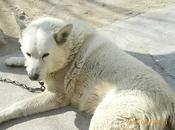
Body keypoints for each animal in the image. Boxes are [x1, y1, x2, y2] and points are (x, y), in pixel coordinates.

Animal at [2, 16, 175, 129]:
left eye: (45, 55)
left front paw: (2, 115)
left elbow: (18, 106)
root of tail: (169, 99)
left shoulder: (57, 96)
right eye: (28, 53)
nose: (32, 77)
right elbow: (24, 62)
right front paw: (13, 60)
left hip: (104, 120)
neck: (70, 51)